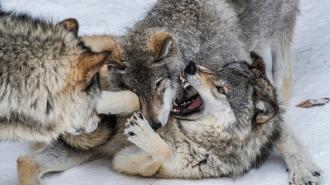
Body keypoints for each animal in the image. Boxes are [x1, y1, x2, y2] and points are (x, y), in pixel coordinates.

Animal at [16, 52, 320, 185]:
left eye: (221, 89)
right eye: (216, 71)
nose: (191, 66)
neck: (187, 134)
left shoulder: (130, 162)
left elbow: (159, 153)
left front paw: (143, 132)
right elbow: (133, 99)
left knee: (25, 161)